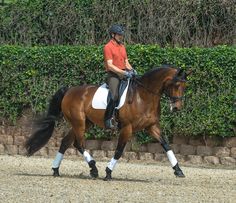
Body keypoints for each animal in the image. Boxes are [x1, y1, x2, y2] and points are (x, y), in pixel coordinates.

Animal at [24, 65, 191, 181]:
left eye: (185, 86)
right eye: (177, 85)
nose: (177, 107)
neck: (143, 96)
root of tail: (69, 90)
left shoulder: (152, 127)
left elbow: (166, 145)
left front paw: (178, 170)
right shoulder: (127, 128)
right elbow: (119, 150)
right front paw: (108, 172)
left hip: (85, 123)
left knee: (66, 142)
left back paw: (56, 170)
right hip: (79, 123)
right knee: (79, 144)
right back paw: (93, 169)